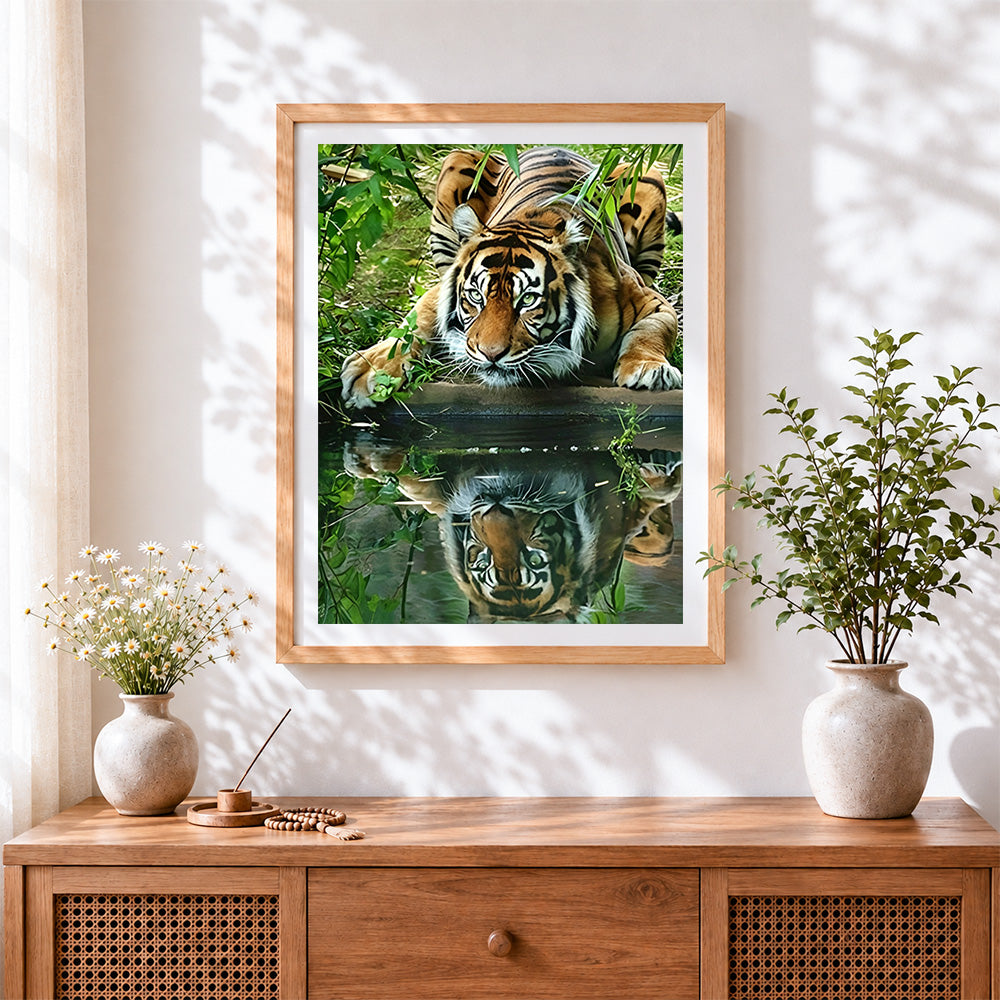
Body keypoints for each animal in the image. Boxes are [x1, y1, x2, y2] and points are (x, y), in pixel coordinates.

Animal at [341, 146, 682, 408]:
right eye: (475, 296)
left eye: (528, 300)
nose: (490, 354)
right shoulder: (443, 286)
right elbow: (415, 320)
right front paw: (371, 371)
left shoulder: (652, 301)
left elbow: (653, 330)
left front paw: (649, 369)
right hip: (455, 164)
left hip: (646, 174)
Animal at [342, 436, 682, 623]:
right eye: (482, 563)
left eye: (534, 559)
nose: (494, 509)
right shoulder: (442, 494)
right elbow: (414, 483)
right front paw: (366, 462)